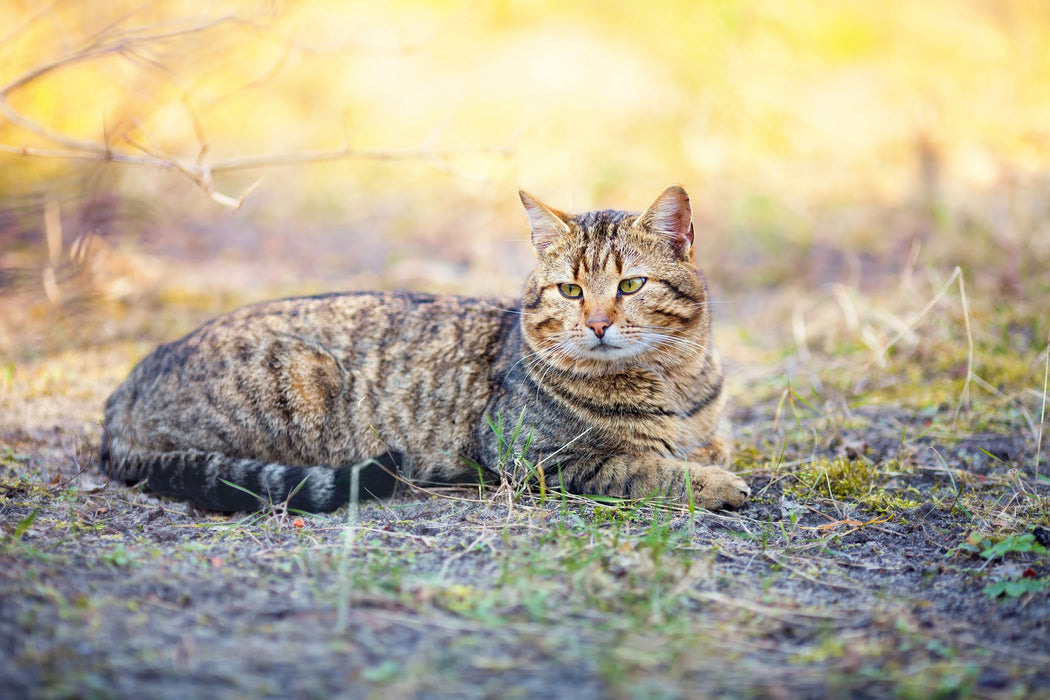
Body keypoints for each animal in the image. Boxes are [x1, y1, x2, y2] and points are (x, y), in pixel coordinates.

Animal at [98, 185, 751, 514]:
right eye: (570, 290)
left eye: (631, 286)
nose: (596, 324)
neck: (672, 381)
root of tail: (124, 389)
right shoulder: (533, 455)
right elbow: (639, 465)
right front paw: (715, 484)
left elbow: (709, 444)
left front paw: (708, 459)